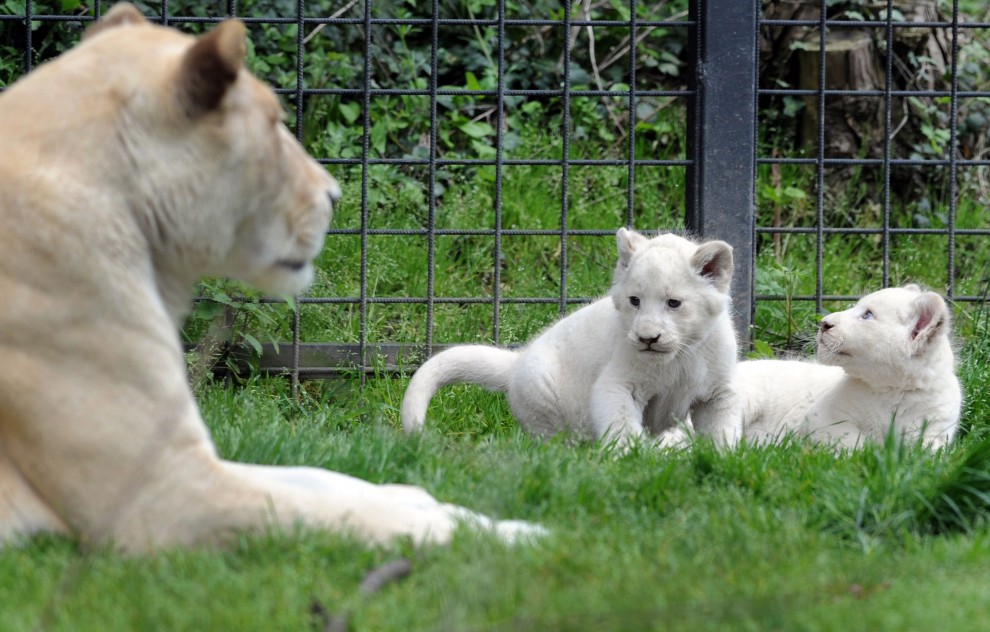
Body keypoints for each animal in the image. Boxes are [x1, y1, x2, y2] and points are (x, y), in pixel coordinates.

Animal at [0, 3, 540, 552]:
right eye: (276, 123)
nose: (335, 196)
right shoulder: (155, 496)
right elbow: (324, 511)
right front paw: (510, 533)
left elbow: (320, 480)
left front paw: (433, 499)